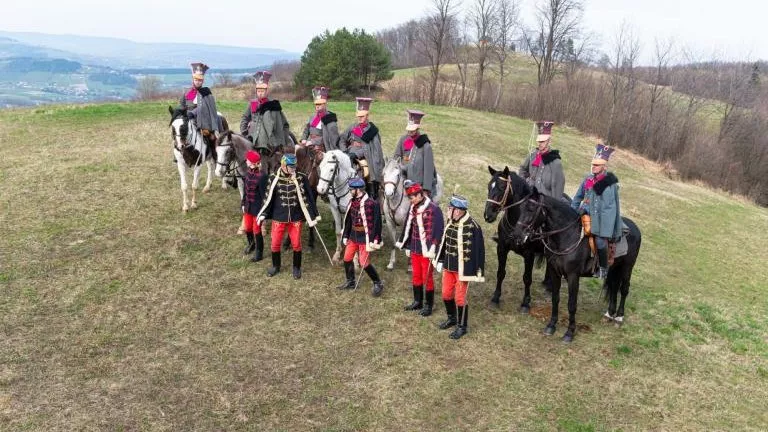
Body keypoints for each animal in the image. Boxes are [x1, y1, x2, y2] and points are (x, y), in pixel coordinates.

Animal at [484, 165, 548, 310]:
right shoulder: (502, 248)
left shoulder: (529, 255)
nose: (488, 215)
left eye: (502, 188)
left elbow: (527, 278)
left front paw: (525, 302)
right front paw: (496, 297)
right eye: (489, 186)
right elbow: (501, 272)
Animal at [516, 188, 640, 340]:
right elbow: (555, 299)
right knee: (615, 286)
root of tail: (635, 228)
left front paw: (569, 332)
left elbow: (572, 304)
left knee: (624, 289)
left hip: (627, 267)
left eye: (531, 209)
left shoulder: (573, 276)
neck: (567, 236)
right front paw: (551, 326)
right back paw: (609, 314)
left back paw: (619, 317)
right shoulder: (554, 272)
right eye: (521, 207)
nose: (517, 234)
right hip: (614, 268)